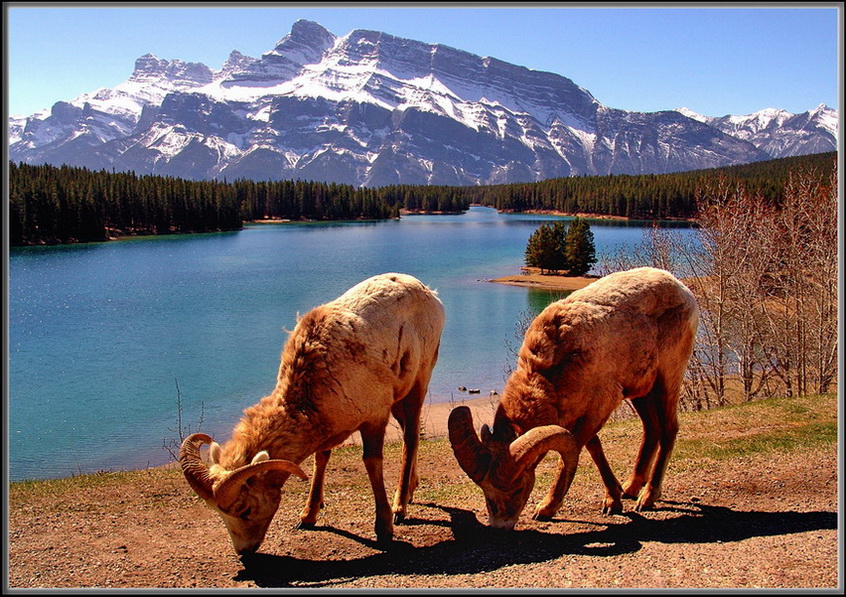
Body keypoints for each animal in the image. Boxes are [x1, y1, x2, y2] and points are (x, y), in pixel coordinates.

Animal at [181, 272, 448, 552]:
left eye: (244, 509)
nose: (245, 551)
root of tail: (428, 292)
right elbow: (321, 460)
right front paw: (308, 516)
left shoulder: (375, 416)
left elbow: (372, 463)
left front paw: (384, 529)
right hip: (400, 397)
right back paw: (410, 491)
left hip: (419, 381)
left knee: (411, 438)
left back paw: (400, 507)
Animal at [450, 268, 704, 528]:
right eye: (485, 490)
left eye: (518, 486)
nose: (501, 523)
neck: (554, 368)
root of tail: (682, 289)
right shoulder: (579, 414)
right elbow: (594, 448)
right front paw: (613, 499)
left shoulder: (599, 408)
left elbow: (573, 454)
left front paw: (546, 508)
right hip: (641, 391)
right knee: (652, 429)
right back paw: (631, 488)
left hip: (667, 380)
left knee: (668, 429)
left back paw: (648, 497)